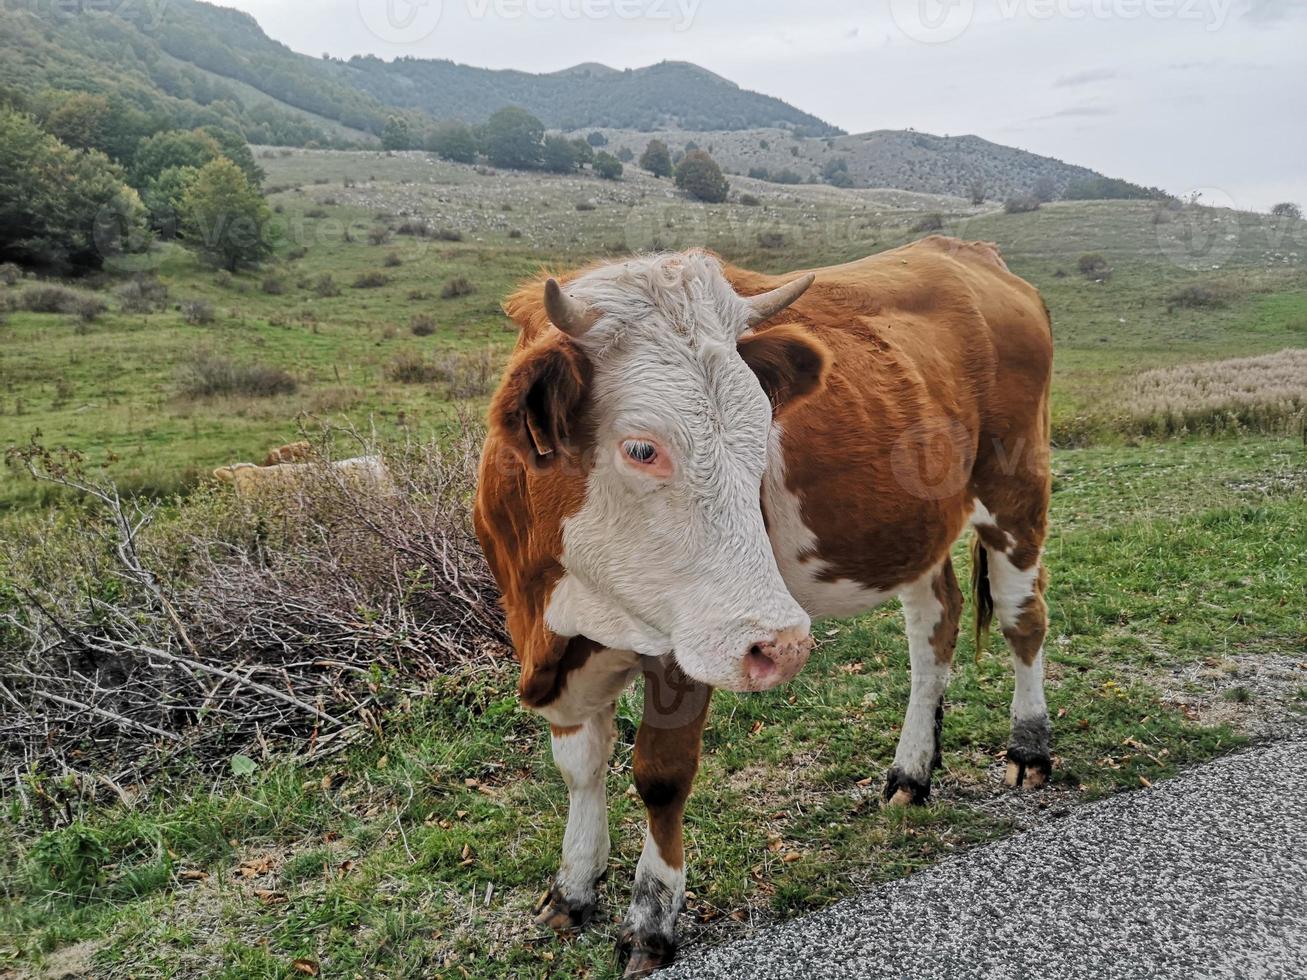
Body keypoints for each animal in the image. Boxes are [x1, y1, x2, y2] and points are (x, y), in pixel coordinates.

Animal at [475, 236, 1056, 977]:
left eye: (761, 436)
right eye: (641, 448)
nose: (781, 645)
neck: (563, 607)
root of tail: (965, 251)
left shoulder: (691, 639)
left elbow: (660, 776)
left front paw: (651, 920)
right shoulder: (550, 638)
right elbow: (578, 765)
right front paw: (573, 887)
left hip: (1016, 489)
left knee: (1022, 618)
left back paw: (1029, 746)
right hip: (918, 527)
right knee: (934, 629)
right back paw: (912, 771)